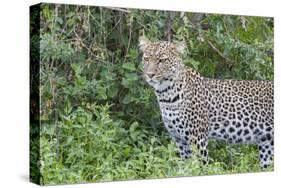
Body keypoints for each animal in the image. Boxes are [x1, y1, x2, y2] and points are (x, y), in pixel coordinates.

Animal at [138, 35, 274, 167]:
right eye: (146, 59)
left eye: (162, 60)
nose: (150, 74)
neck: (166, 95)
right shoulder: (180, 140)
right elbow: (186, 168)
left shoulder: (197, 138)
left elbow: (200, 167)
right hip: (267, 145)